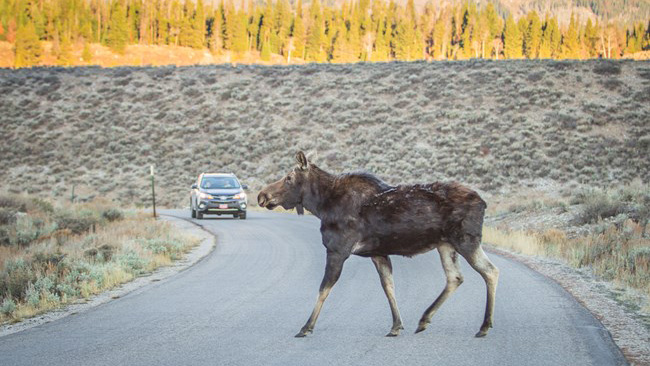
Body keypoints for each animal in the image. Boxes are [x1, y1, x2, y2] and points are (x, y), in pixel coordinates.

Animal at [256, 151, 498, 338]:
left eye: (288, 178)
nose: (261, 195)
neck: (321, 205)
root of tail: (483, 202)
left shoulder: (337, 250)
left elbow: (324, 288)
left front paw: (306, 327)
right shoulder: (378, 253)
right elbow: (388, 286)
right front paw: (396, 326)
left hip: (466, 239)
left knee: (490, 271)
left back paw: (484, 326)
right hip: (445, 244)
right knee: (455, 277)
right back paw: (424, 319)